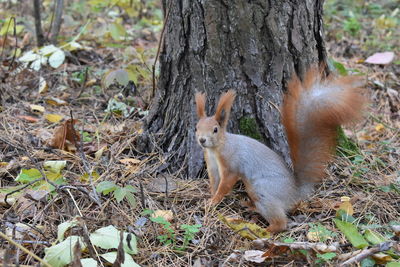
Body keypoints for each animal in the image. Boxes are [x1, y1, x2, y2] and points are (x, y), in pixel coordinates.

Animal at [195, 68, 366, 233]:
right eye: (196, 127)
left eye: (215, 129)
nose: (202, 140)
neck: (216, 149)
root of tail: (294, 192)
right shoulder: (212, 165)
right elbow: (215, 182)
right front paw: (211, 195)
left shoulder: (231, 164)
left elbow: (226, 183)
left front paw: (214, 200)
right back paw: (250, 207)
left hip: (262, 190)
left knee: (281, 222)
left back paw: (263, 231)